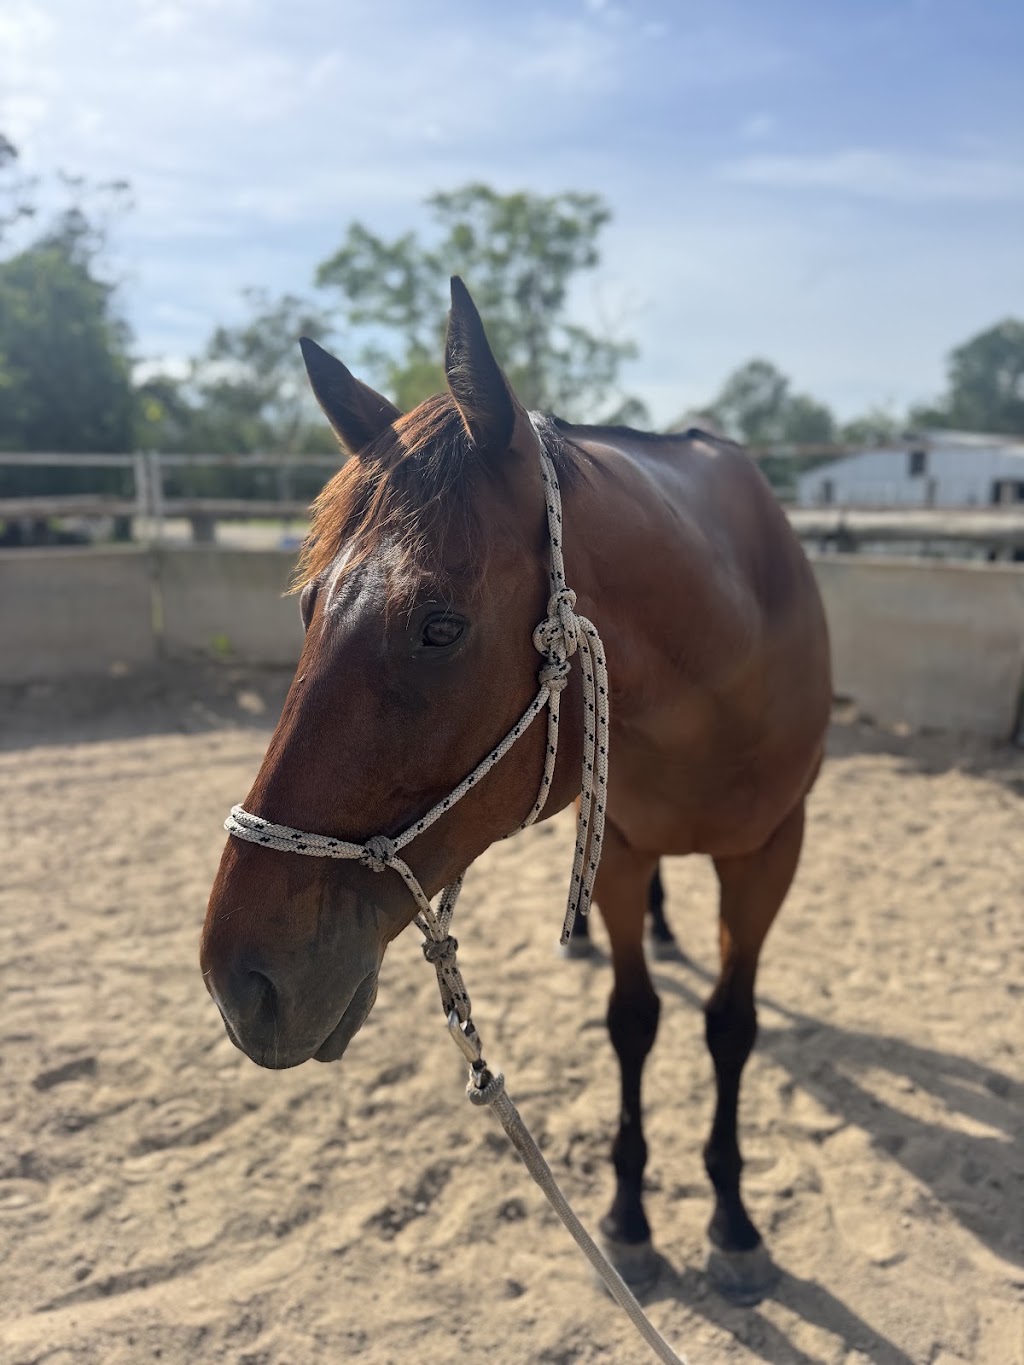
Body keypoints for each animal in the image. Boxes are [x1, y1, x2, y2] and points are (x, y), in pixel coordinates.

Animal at [200, 277, 832, 1305]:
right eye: (307, 606)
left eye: (439, 626)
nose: (239, 982)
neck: (720, 655)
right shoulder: (617, 846)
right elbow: (634, 1020)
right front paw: (630, 1217)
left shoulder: (770, 853)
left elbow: (730, 1027)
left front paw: (734, 1221)